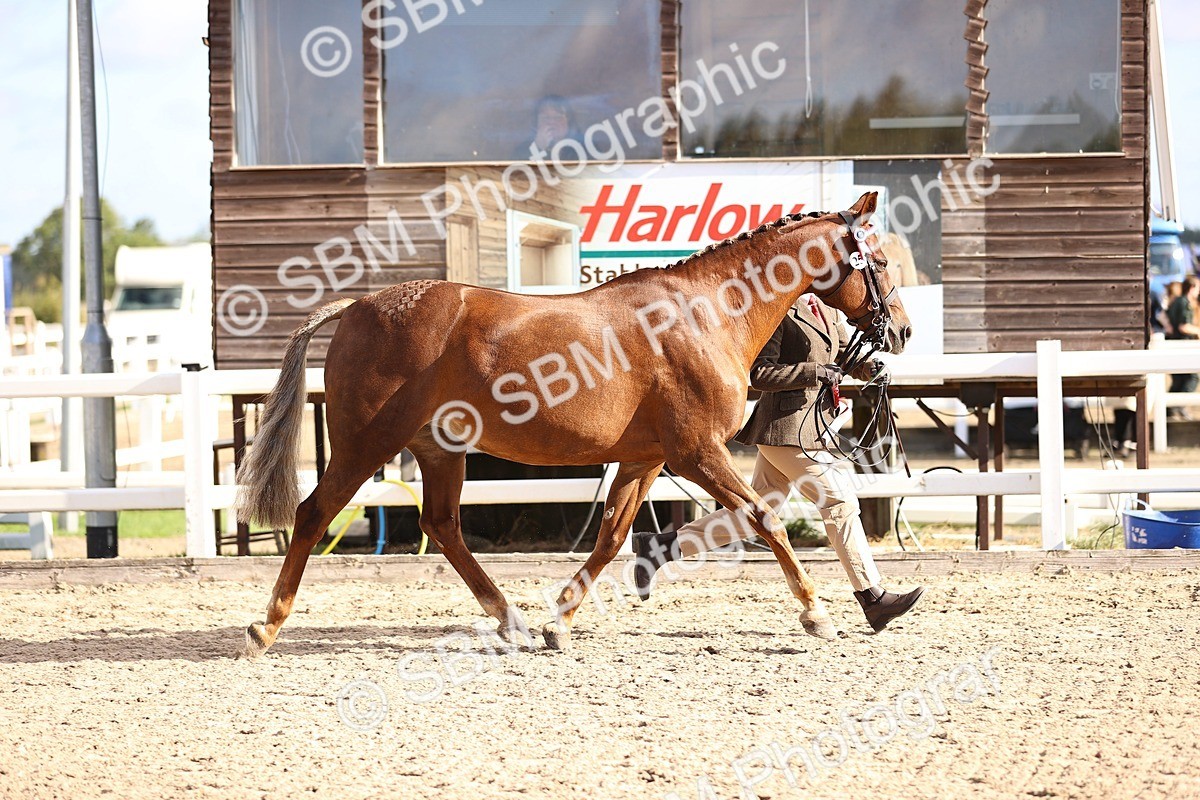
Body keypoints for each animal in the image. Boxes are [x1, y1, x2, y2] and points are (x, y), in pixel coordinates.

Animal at [236, 191, 911, 656]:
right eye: (877, 260)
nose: (900, 332)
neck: (705, 312)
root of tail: (358, 306)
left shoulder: (646, 458)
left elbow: (612, 537)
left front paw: (558, 621)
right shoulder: (697, 452)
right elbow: (764, 518)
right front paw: (817, 613)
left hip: (439, 450)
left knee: (443, 527)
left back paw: (510, 620)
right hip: (367, 443)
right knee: (314, 514)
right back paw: (265, 626)